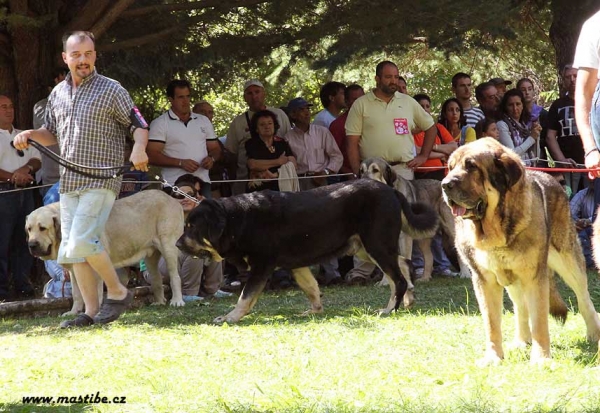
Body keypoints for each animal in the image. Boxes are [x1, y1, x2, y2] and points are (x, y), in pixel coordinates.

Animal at [176, 179, 438, 324]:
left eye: (191, 227)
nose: (177, 244)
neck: (236, 220)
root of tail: (391, 190)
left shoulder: (261, 267)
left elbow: (245, 298)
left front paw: (230, 318)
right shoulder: (297, 265)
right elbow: (311, 288)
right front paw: (315, 311)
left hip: (375, 245)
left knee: (398, 277)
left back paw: (389, 309)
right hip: (365, 247)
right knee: (404, 265)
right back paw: (408, 300)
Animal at [440, 138, 600, 364]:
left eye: (472, 166)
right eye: (450, 167)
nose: (445, 185)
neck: (495, 230)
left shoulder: (534, 277)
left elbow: (540, 320)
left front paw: (541, 359)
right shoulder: (484, 280)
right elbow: (492, 323)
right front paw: (493, 357)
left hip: (568, 261)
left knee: (583, 298)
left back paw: (594, 333)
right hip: (512, 280)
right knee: (521, 308)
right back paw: (522, 341)